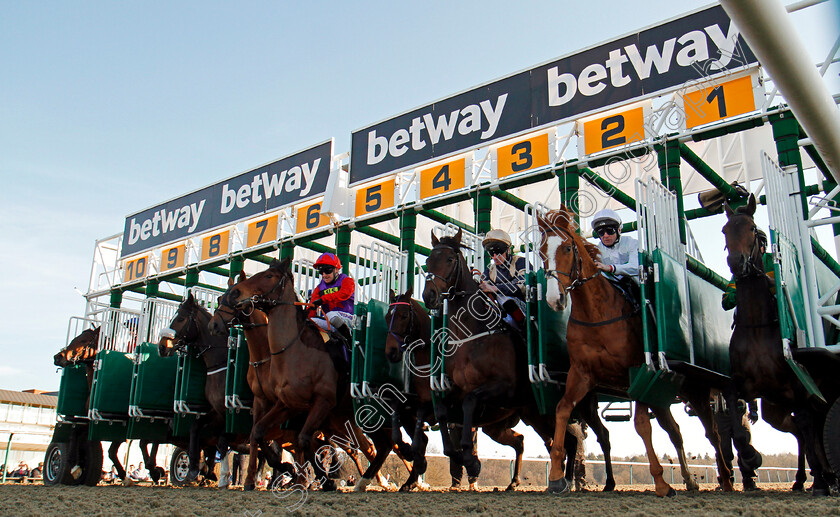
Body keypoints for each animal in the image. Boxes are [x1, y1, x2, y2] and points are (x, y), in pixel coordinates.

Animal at [54, 326, 164, 484]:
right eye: (74, 338)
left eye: (83, 340)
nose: (58, 357)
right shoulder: (99, 419)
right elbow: (78, 433)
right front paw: (75, 466)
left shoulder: (122, 420)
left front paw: (151, 471)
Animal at [225, 258, 406, 492]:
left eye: (268, 276)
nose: (233, 293)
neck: (294, 352)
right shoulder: (287, 404)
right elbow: (258, 432)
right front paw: (296, 474)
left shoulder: (323, 401)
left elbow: (304, 440)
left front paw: (316, 479)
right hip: (345, 418)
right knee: (374, 446)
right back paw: (370, 481)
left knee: (391, 443)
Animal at [540, 208, 728, 494]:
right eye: (541, 251)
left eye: (568, 247)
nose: (555, 299)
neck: (597, 315)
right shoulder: (581, 374)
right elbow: (562, 410)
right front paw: (556, 477)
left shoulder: (638, 372)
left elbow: (641, 425)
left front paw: (661, 482)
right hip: (660, 395)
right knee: (675, 431)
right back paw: (689, 479)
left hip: (694, 389)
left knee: (713, 432)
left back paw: (726, 479)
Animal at [720, 196, 832, 494]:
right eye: (725, 230)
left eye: (751, 228)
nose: (736, 262)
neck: (757, 325)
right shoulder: (742, 383)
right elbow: (736, 420)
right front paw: (751, 456)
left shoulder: (797, 384)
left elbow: (806, 423)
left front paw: (821, 482)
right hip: (774, 409)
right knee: (798, 431)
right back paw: (802, 479)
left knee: (809, 427)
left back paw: (823, 477)